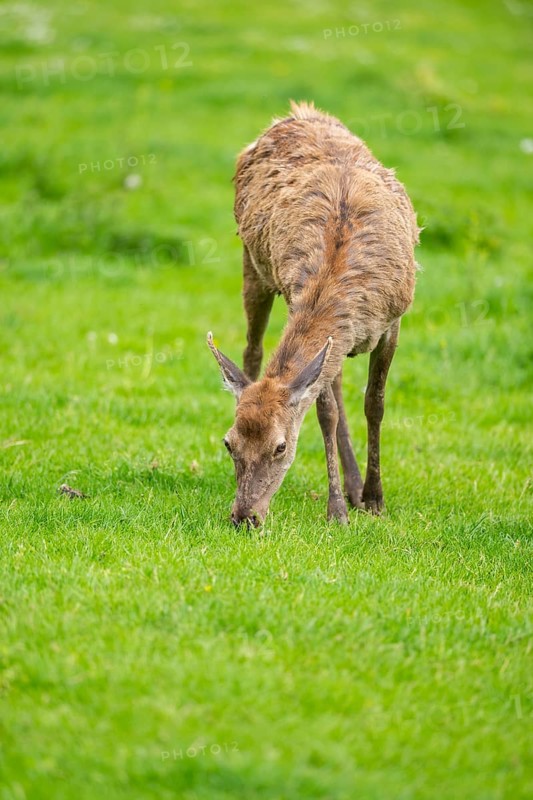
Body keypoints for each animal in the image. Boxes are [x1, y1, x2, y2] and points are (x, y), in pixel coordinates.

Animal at [208, 101, 420, 527]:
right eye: (228, 443)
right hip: (253, 263)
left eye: (280, 447)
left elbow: (375, 403)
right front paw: (337, 508)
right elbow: (327, 413)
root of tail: (295, 112)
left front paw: (373, 498)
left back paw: (356, 489)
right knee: (254, 351)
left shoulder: (393, 321)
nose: (244, 516)